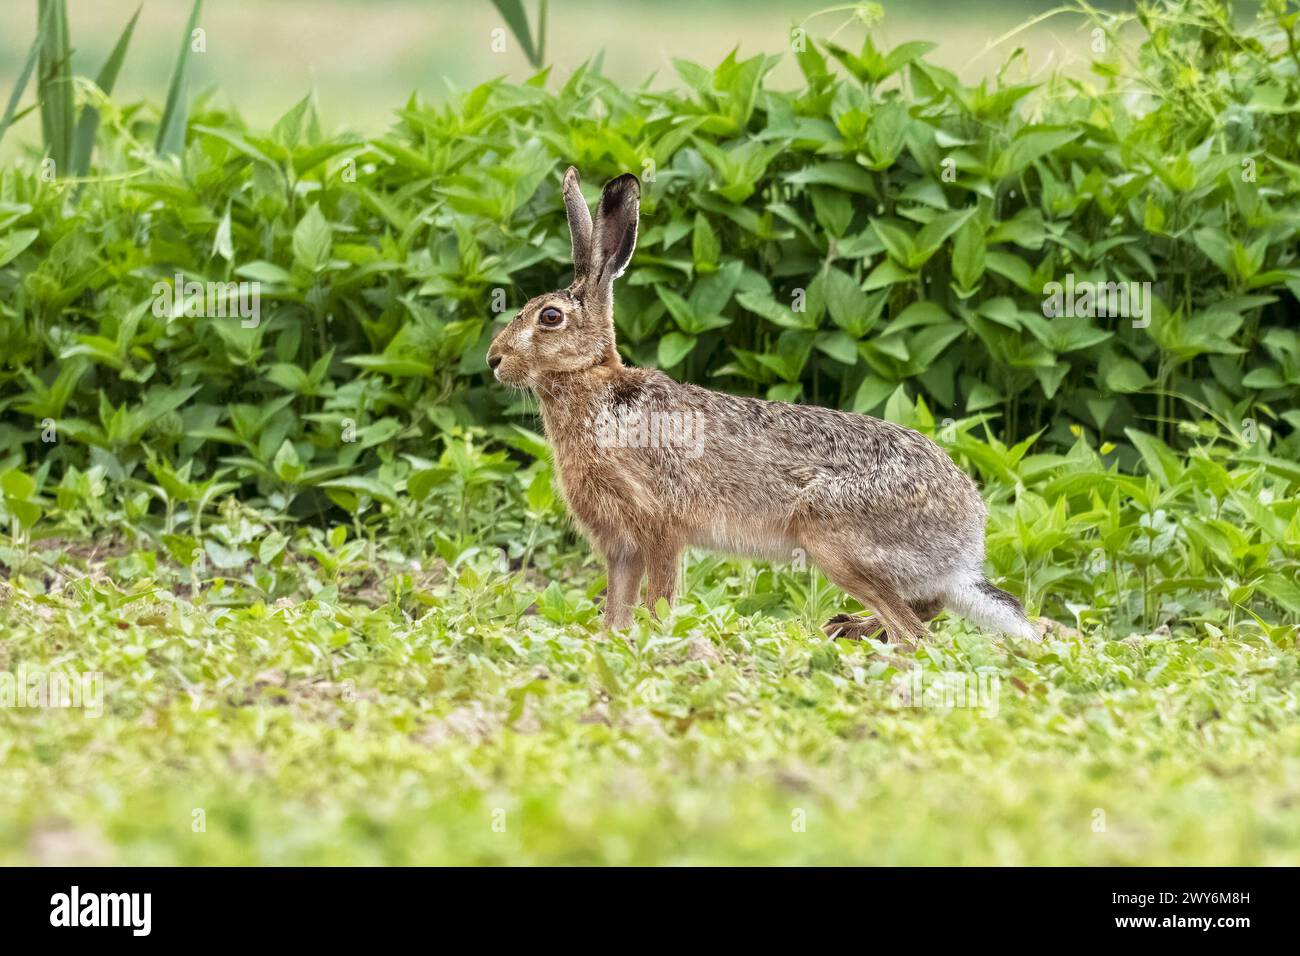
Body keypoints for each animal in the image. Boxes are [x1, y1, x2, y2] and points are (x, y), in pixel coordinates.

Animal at [486, 167, 1039, 644]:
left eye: (550, 317)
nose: (494, 359)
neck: (594, 385)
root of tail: (969, 538)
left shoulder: (659, 526)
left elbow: (657, 598)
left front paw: (655, 637)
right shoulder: (619, 546)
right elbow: (616, 608)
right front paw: (613, 640)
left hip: (834, 539)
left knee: (915, 632)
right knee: (926, 611)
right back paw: (849, 627)